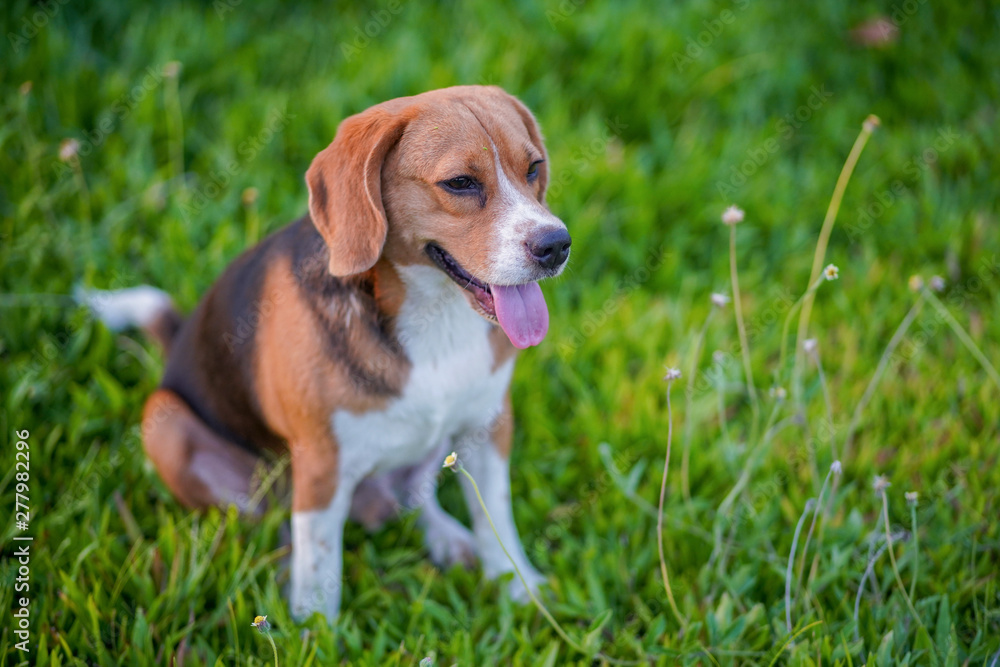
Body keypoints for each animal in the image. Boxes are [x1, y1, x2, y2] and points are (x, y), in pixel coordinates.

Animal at [84, 85, 572, 620]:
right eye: (460, 183)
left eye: (533, 168)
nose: (557, 245)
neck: (435, 316)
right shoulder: (320, 466)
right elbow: (318, 565)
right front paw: (311, 629)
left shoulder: (487, 426)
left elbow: (496, 519)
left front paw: (520, 589)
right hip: (166, 421)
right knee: (276, 527)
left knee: (412, 496)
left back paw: (446, 538)